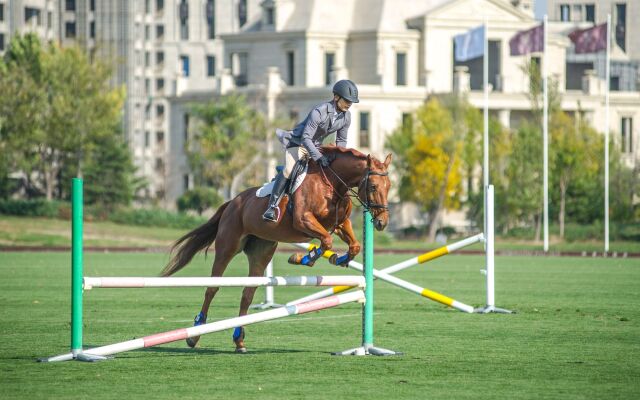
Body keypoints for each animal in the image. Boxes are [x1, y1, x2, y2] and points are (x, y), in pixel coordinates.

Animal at [161, 145, 390, 352]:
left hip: (261, 252)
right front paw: (302, 258)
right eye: (372, 187)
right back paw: (195, 333)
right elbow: (326, 241)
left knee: (247, 293)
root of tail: (232, 202)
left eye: (389, 186)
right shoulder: (303, 220)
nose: (382, 223)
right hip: (227, 247)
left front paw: (339, 259)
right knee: (212, 288)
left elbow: (355, 246)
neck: (332, 185)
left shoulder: (340, 224)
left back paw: (239, 340)